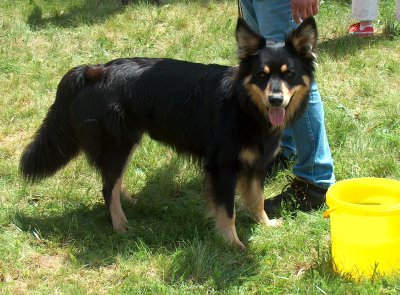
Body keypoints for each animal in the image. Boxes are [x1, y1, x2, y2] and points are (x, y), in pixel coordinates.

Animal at [20, 17, 318, 250]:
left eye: (289, 74)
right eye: (262, 75)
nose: (276, 100)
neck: (245, 105)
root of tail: (95, 70)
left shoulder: (256, 163)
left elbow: (256, 199)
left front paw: (265, 224)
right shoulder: (222, 167)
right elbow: (227, 210)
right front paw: (232, 243)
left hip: (126, 141)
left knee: (112, 180)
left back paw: (129, 200)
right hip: (118, 143)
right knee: (107, 186)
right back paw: (120, 225)